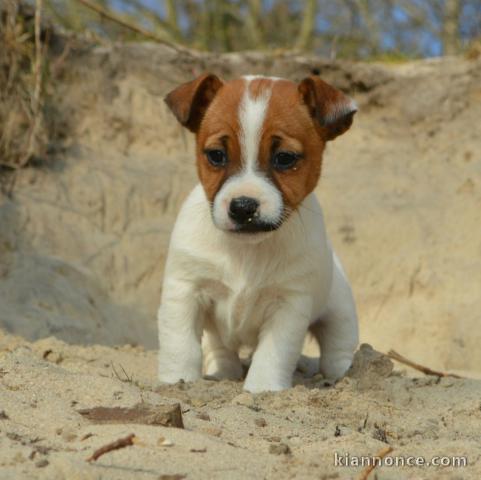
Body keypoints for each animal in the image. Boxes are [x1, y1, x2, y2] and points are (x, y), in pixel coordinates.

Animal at [159, 73, 358, 392]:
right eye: (216, 155)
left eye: (285, 158)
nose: (243, 207)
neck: (246, 251)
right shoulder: (185, 290)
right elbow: (180, 345)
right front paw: (177, 382)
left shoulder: (289, 305)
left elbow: (272, 356)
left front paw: (262, 389)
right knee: (221, 350)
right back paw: (222, 372)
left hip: (340, 313)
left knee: (337, 348)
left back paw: (345, 376)